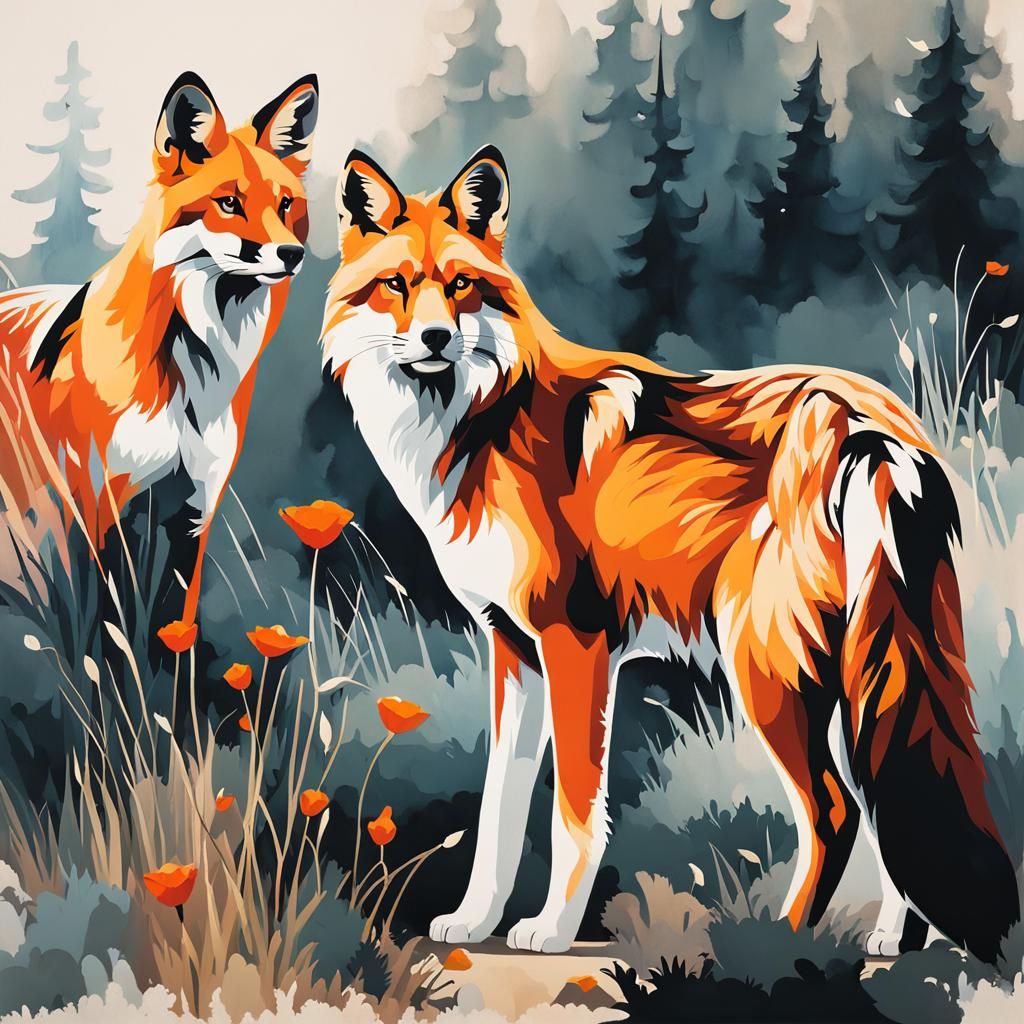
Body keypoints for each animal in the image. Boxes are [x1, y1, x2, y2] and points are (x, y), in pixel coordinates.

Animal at [0, 71, 318, 625]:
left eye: (285, 205)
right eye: (229, 203)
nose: (292, 254)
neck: (190, 373)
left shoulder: (193, 512)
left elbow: (173, 633)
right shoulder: (102, 509)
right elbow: (111, 631)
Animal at [320, 145, 1019, 962]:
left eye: (460, 285)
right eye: (397, 285)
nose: (434, 339)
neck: (481, 422)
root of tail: (868, 424)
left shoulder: (575, 642)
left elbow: (574, 813)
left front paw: (549, 930)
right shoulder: (513, 649)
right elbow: (499, 808)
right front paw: (474, 920)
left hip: (766, 666)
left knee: (835, 812)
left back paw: (774, 943)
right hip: (847, 675)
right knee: (878, 803)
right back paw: (888, 940)